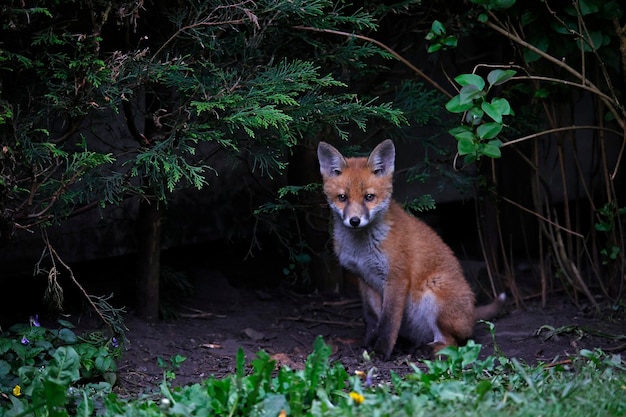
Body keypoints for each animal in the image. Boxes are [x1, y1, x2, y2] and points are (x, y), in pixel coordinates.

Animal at [316, 139, 502, 358]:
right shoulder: (364, 279)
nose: (354, 221)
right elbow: (372, 318)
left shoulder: (397, 278)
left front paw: (382, 351)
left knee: (454, 342)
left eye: (369, 197)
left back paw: (426, 349)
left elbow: (388, 322)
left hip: (433, 294)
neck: (363, 250)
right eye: (342, 198)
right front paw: (368, 344)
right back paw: (408, 345)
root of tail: (472, 314)